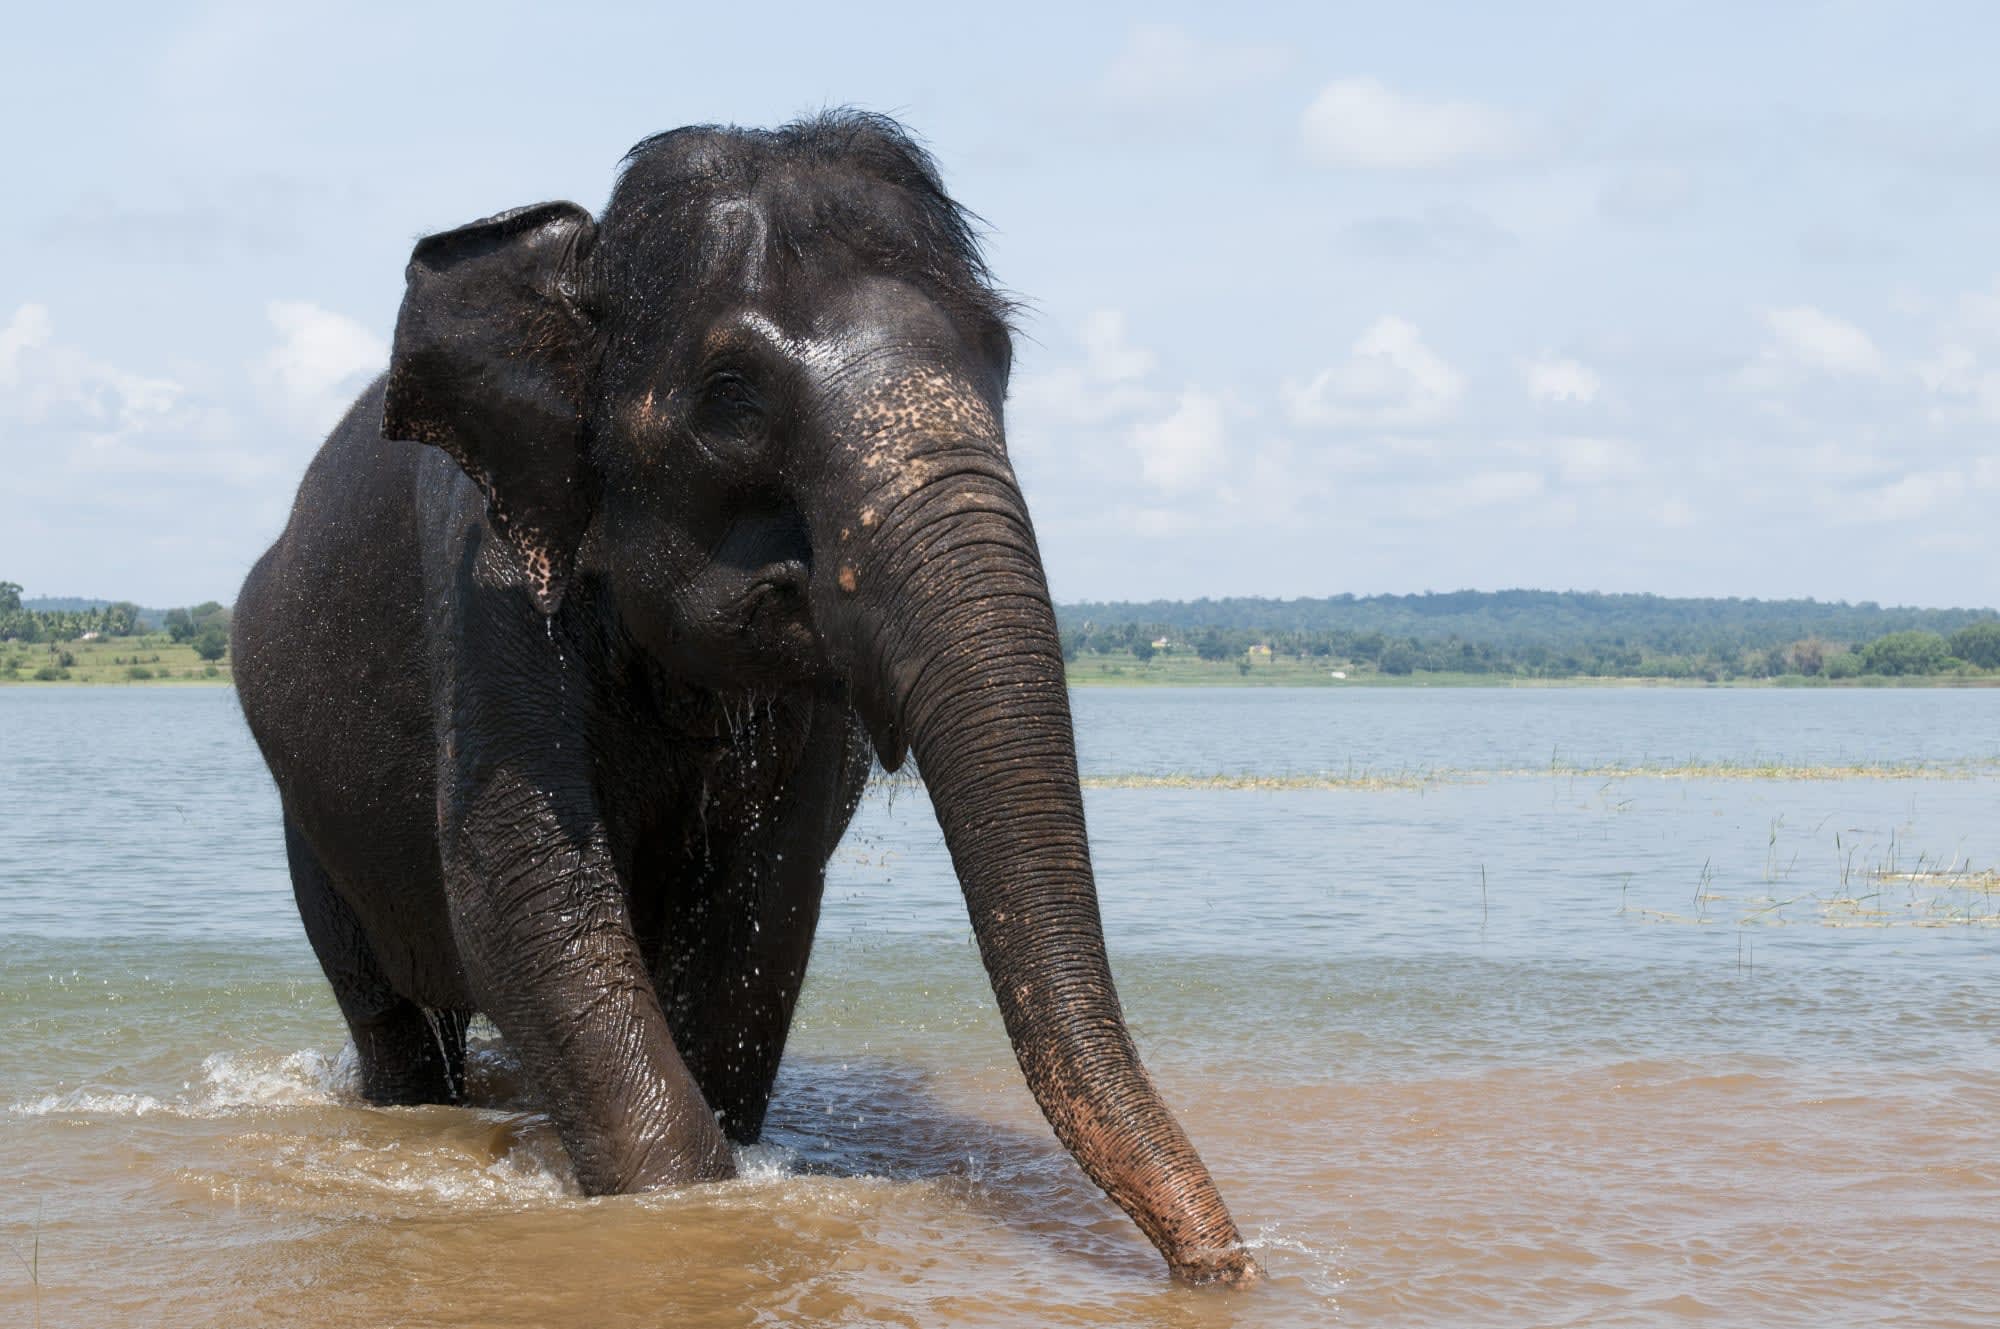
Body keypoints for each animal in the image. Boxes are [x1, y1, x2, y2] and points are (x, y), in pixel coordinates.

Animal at [232, 112, 1257, 1286]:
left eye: (1001, 360)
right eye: (730, 396)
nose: (1221, 1267)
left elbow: (760, 916)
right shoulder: (483, 585)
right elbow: (525, 902)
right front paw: (681, 1208)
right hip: (305, 815)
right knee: (393, 1022)